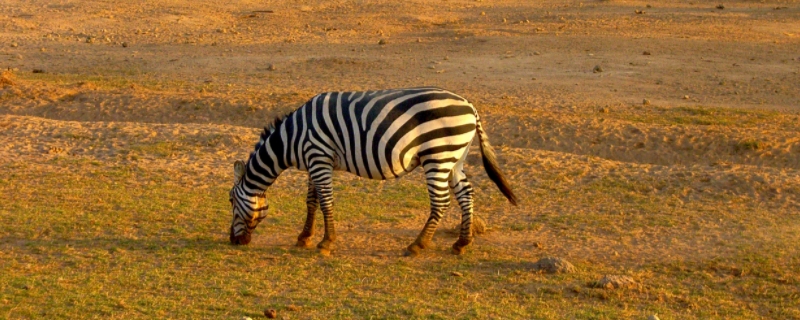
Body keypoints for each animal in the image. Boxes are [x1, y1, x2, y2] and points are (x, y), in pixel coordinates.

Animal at [231, 86, 520, 256]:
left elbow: (325, 201)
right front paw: (304, 237)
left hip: (438, 155)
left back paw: (417, 245)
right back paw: (462, 242)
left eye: (231, 201)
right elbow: (312, 201)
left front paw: (327, 242)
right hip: (454, 158)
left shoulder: (319, 156)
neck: (292, 138)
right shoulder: (316, 160)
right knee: (466, 193)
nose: (233, 241)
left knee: (441, 202)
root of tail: (470, 106)